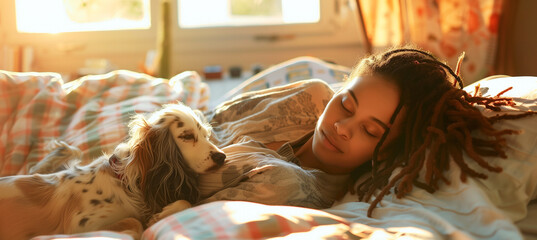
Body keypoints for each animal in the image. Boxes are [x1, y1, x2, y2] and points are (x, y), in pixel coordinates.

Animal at [0, 103, 225, 240]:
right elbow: (135, 221)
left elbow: (184, 202)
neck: (123, 180)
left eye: (206, 135)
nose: (222, 157)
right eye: (187, 136)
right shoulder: (79, 226)